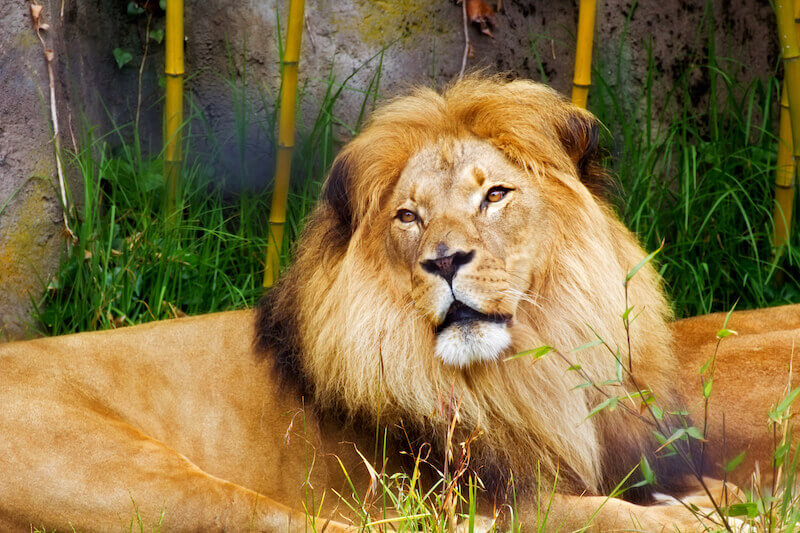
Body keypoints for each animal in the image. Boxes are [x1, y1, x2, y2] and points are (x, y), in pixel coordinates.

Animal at [0, 76, 798, 532]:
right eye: (409, 216)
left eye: (494, 194)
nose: (443, 261)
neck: (528, 370)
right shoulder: (505, 494)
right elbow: (612, 519)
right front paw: (703, 516)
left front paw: (728, 498)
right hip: (128, 476)